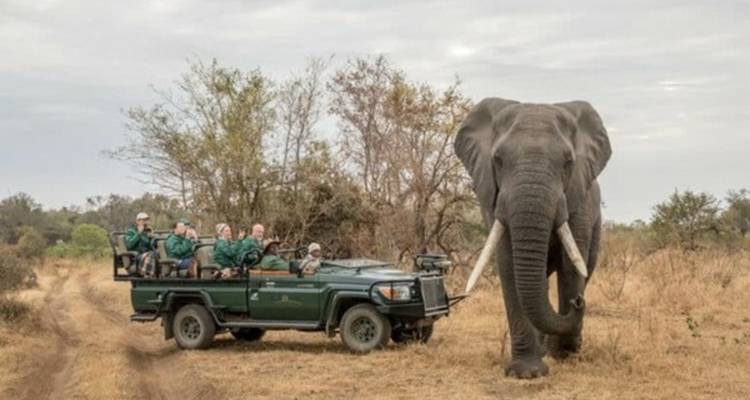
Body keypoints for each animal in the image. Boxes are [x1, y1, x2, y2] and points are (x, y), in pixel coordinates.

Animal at [454, 98, 612, 378]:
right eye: (497, 159)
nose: (578, 302)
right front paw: (526, 372)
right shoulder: (493, 199)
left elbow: (571, 266)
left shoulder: (578, 198)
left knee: (584, 269)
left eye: (568, 161)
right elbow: (508, 265)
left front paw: (565, 355)